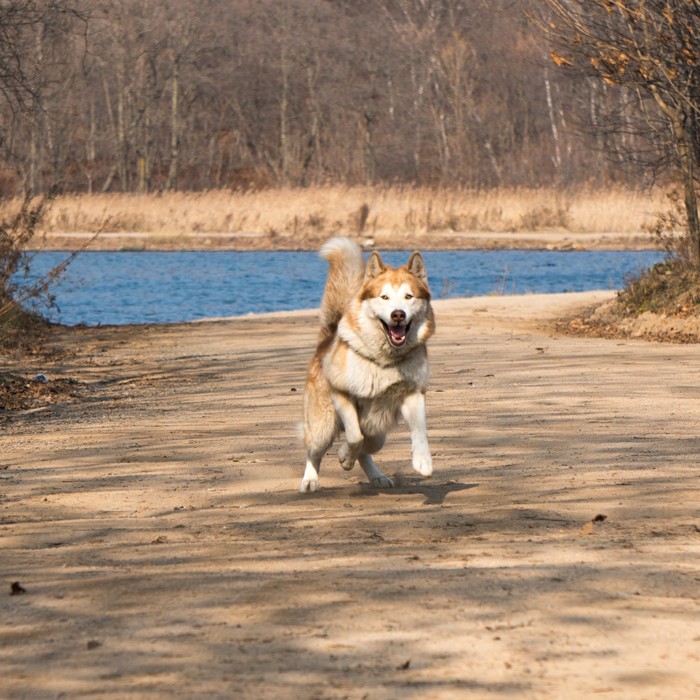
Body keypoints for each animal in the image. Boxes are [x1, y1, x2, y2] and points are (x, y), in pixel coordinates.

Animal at [300, 238, 434, 494]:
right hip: (323, 424)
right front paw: (345, 455)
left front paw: (423, 461)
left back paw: (377, 476)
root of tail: (327, 337)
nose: (398, 315)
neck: (384, 362)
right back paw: (310, 479)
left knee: (370, 446)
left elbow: (414, 431)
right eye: (384, 297)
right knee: (314, 450)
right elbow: (355, 436)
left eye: (409, 297)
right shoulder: (341, 393)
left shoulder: (412, 394)